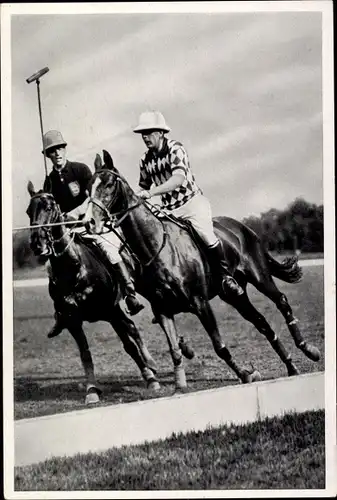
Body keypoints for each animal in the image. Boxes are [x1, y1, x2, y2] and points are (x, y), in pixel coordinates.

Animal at [25, 182, 159, 404]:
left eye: (49, 207)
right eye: (29, 211)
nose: (37, 243)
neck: (74, 269)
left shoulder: (111, 310)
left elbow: (129, 342)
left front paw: (151, 377)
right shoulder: (72, 320)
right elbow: (85, 354)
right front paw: (92, 391)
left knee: (134, 329)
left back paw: (154, 367)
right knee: (130, 334)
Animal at [85, 150, 318, 392]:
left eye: (109, 184)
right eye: (89, 187)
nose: (89, 222)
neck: (157, 246)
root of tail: (243, 228)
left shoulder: (200, 303)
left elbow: (219, 346)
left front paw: (245, 374)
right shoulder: (162, 309)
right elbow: (175, 351)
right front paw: (180, 386)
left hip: (260, 276)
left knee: (281, 300)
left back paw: (308, 349)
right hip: (234, 294)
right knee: (261, 322)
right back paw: (291, 366)